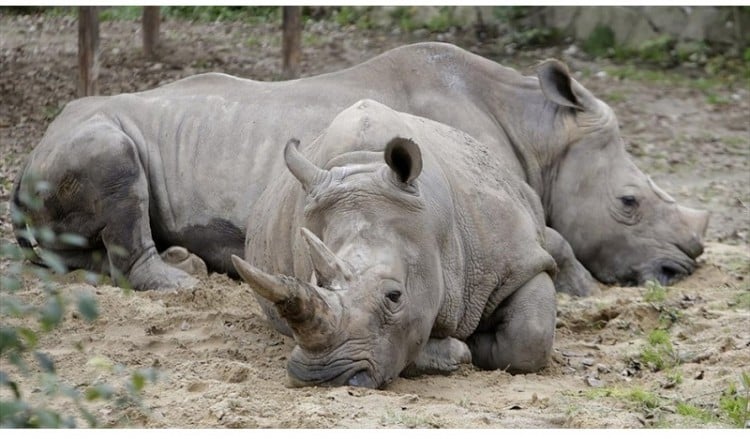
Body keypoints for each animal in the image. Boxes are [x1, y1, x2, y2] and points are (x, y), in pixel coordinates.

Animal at [8, 42, 708, 296]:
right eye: (629, 203)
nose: (685, 265)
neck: (540, 133)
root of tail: (26, 161)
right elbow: (554, 237)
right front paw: (583, 291)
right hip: (86, 138)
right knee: (116, 165)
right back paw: (183, 283)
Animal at [234, 99, 560, 388]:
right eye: (317, 282)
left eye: (394, 296)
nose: (320, 376)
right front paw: (457, 351)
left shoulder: (519, 261)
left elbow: (530, 334)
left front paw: (477, 342)